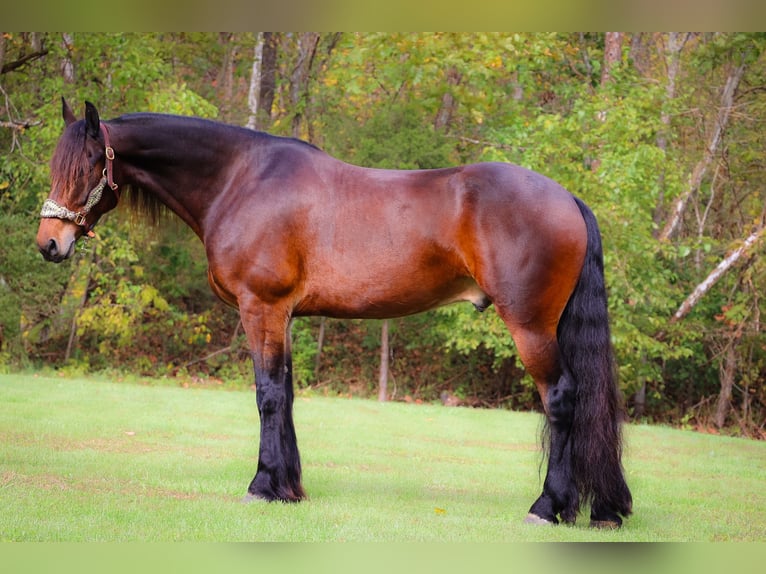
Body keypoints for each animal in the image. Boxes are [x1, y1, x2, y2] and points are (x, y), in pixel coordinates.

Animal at [36, 100, 632, 532]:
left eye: (87, 165)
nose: (49, 243)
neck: (240, 180)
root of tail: (568, 198)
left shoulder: (261, 308)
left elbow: (266, 395)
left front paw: (262, 487)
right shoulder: (284, 316)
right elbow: (286, 393)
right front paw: (289, 488)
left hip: (530, 326)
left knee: (561, 400)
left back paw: (547, 507)